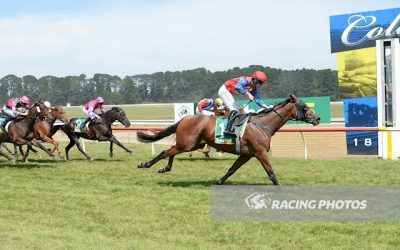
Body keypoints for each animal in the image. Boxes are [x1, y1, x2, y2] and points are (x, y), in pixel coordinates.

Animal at [137, 94, 318, 185]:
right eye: (305, 107)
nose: (317, 118)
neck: (262, 125)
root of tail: (185, 118)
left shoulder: (246, 155)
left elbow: (231, 170)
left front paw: (219, 182)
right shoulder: (260, 153)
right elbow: (271, 174)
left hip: (192, 144)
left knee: (171, 152)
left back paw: (165, 168)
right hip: (187, 143)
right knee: (165, 152)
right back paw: (145, 164)